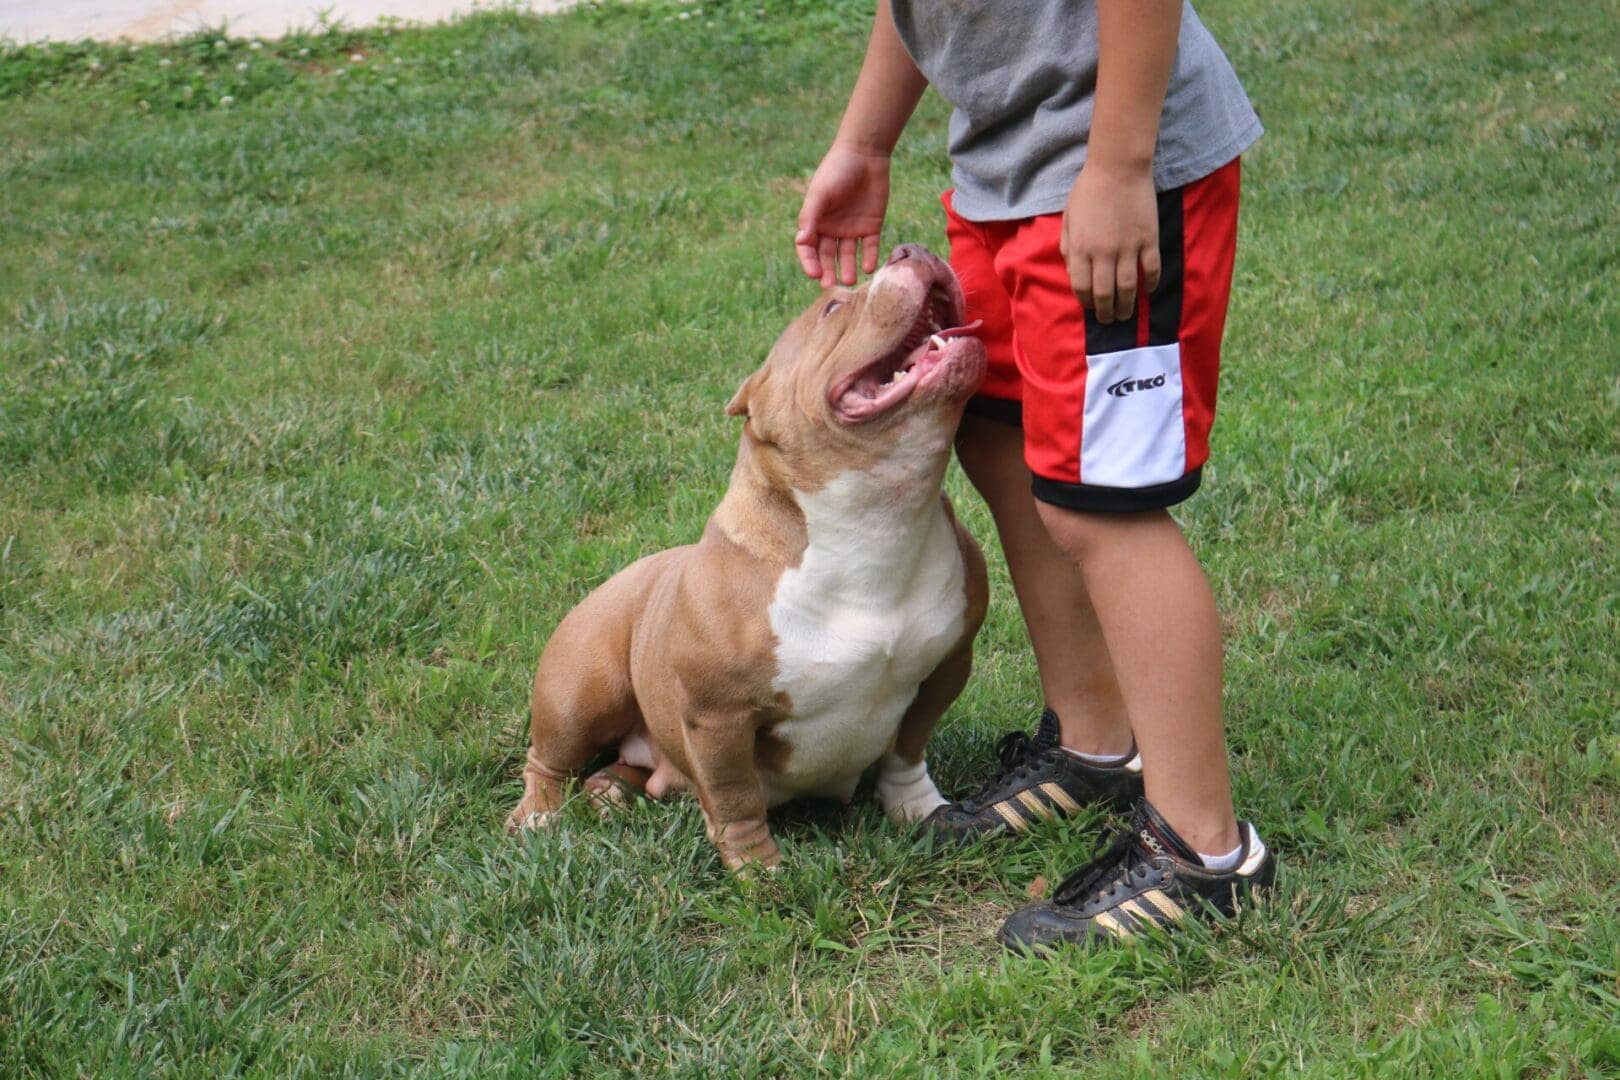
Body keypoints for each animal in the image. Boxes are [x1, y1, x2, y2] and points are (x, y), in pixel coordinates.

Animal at [508, 244, 984, 867]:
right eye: (833, 306)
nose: (915, 249)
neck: (877, 518)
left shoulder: (947, 666)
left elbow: (907, 750)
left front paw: (921, 811)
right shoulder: (718, 717)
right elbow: (734, 796)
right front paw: (759, 868)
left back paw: (611, 791)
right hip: (579, 692)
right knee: (548, 760)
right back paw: (538, 815)